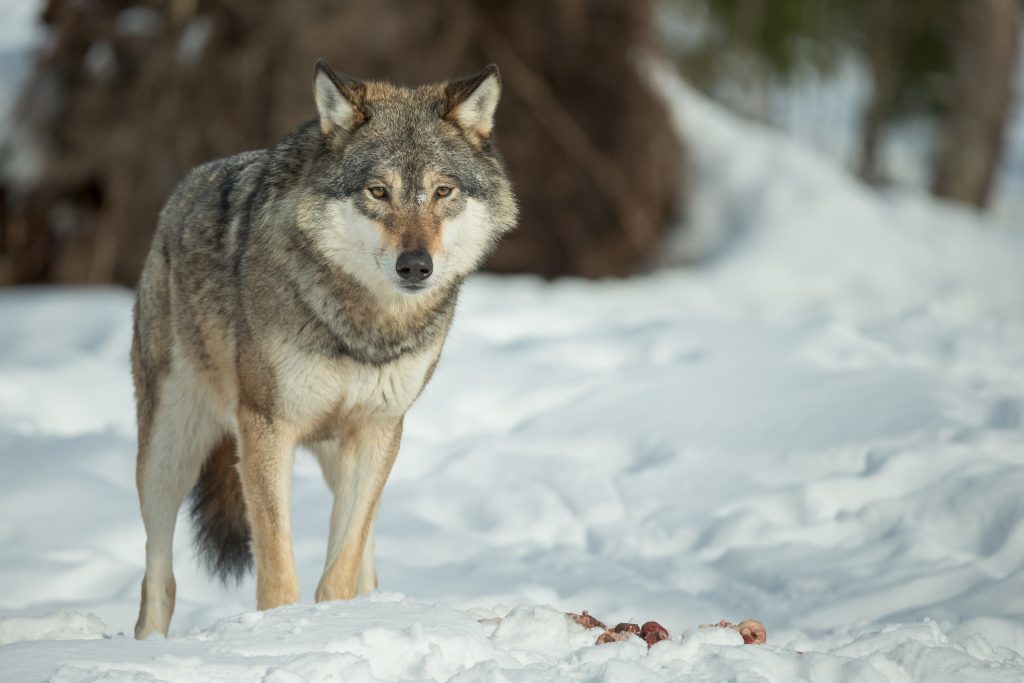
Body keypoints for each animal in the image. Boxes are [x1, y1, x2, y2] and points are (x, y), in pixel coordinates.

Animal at [134, 60, 520, 643]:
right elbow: (277, 569)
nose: (415, 266)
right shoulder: (267, 425)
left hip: (343, 455)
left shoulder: (379, 429)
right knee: (159, 577)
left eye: (442, 191)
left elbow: (341, 568)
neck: (363, 327)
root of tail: (176, 199)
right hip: (169, 450)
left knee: (367, 562)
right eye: (378, 191)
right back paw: (148, 646)